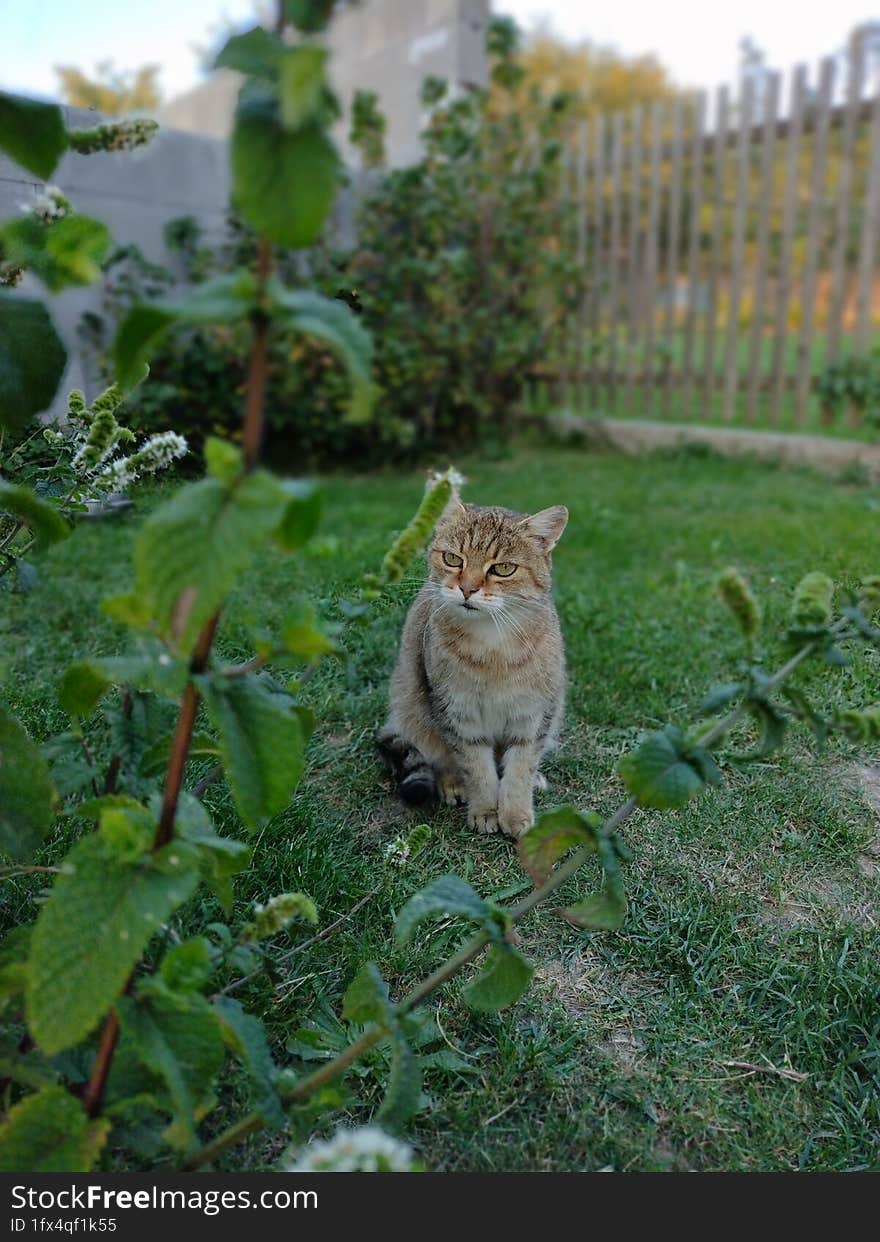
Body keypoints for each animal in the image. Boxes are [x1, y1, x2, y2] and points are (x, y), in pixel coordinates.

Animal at [379, 499, 570, 839]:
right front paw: (485, 810)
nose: (467, 589)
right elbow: (476, 768)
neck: (492, 647)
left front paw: (516, 811)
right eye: (453, 559)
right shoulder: (457, 714)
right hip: (413, 707)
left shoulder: (534, 714)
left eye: (503, 568)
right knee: (440, 756)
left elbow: (521, 767)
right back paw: (453, 784)